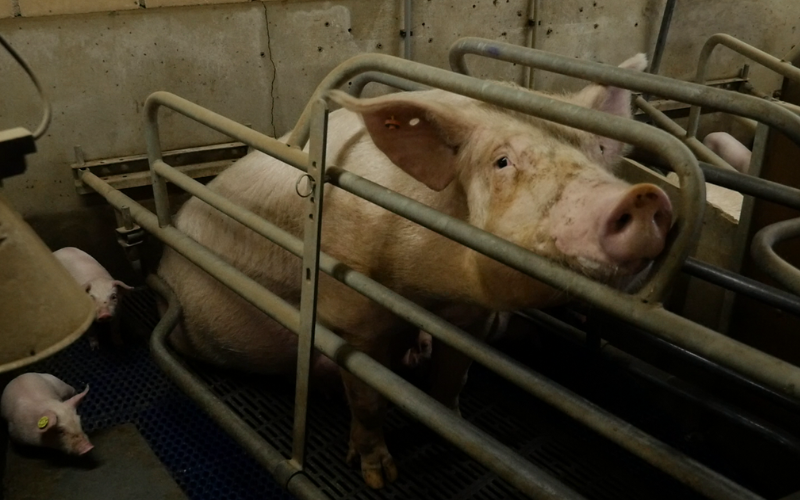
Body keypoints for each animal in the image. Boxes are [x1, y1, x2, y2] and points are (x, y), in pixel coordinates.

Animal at [157, 53, 672, 488]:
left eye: (600, 149)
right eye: (501, 161)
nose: (643, 196)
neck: (427, 292)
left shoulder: (469, 317)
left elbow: (452, 378)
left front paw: (454, 435)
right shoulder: (350, 313)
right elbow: (367, 398)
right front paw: (378, 478)